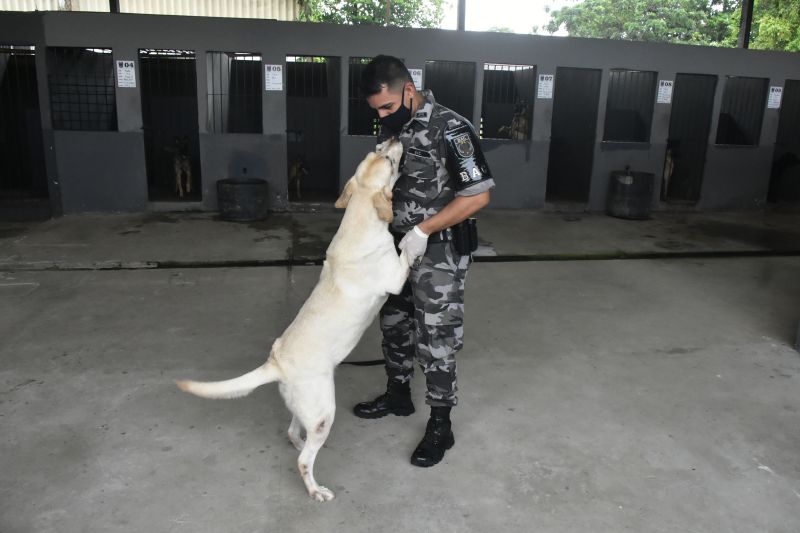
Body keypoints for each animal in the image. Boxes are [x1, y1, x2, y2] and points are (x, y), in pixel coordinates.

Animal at [177, 139, 410, 500]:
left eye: (379, 149)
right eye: (386, 157)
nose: (395, 137)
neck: (360, 217)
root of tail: (277, 364)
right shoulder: (396, 277)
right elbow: (412, 245)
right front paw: (422, 232)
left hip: (306, 408)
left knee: (292, 432)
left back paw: (298, 443)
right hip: (323, 414)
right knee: (303, 460)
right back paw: (315, 489)